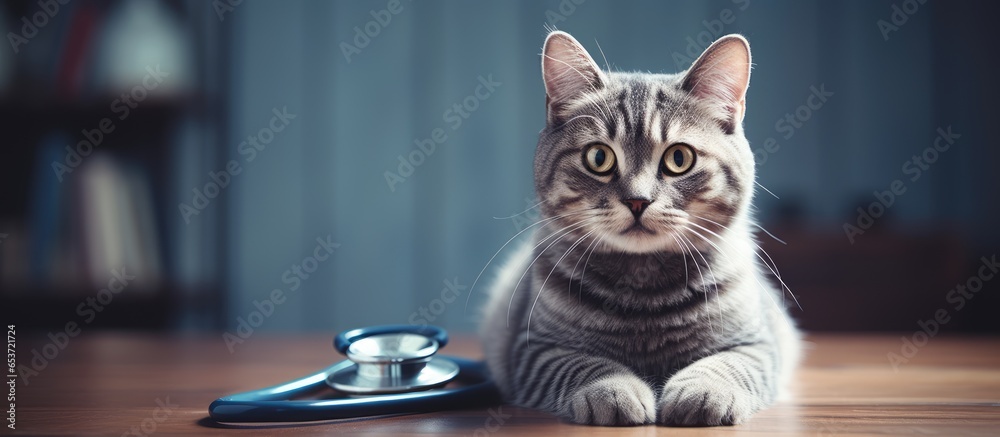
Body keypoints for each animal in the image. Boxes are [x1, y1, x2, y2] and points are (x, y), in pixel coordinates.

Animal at [480, 31, 800, 426]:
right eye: (598, 157)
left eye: (679, 158)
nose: (637, 200)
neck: (645, 289)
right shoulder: (534, 351)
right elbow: (587, 366)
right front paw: (613, 389)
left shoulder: (758, 345)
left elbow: (725, 365)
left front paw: (704, 391)